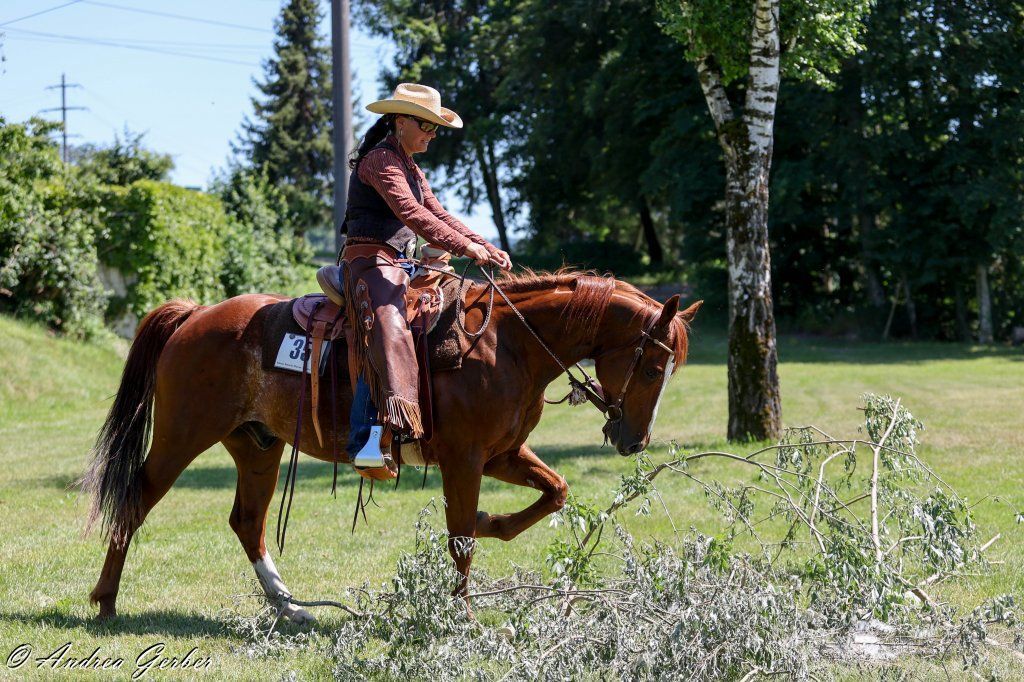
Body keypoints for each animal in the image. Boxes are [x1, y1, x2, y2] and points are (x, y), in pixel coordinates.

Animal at [81, 269, 701, 621]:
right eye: (652, 367)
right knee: (135, 500)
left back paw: (292, 608)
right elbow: (460, 539)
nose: (634, 440)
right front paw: (462, 613)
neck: (508, 345)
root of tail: (196, 315)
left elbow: (556, 491)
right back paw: (106, 600)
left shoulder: (502, 455)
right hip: (182, 435)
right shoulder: (465, 460)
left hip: (258, 447)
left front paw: (492, 521)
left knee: (247, 522)